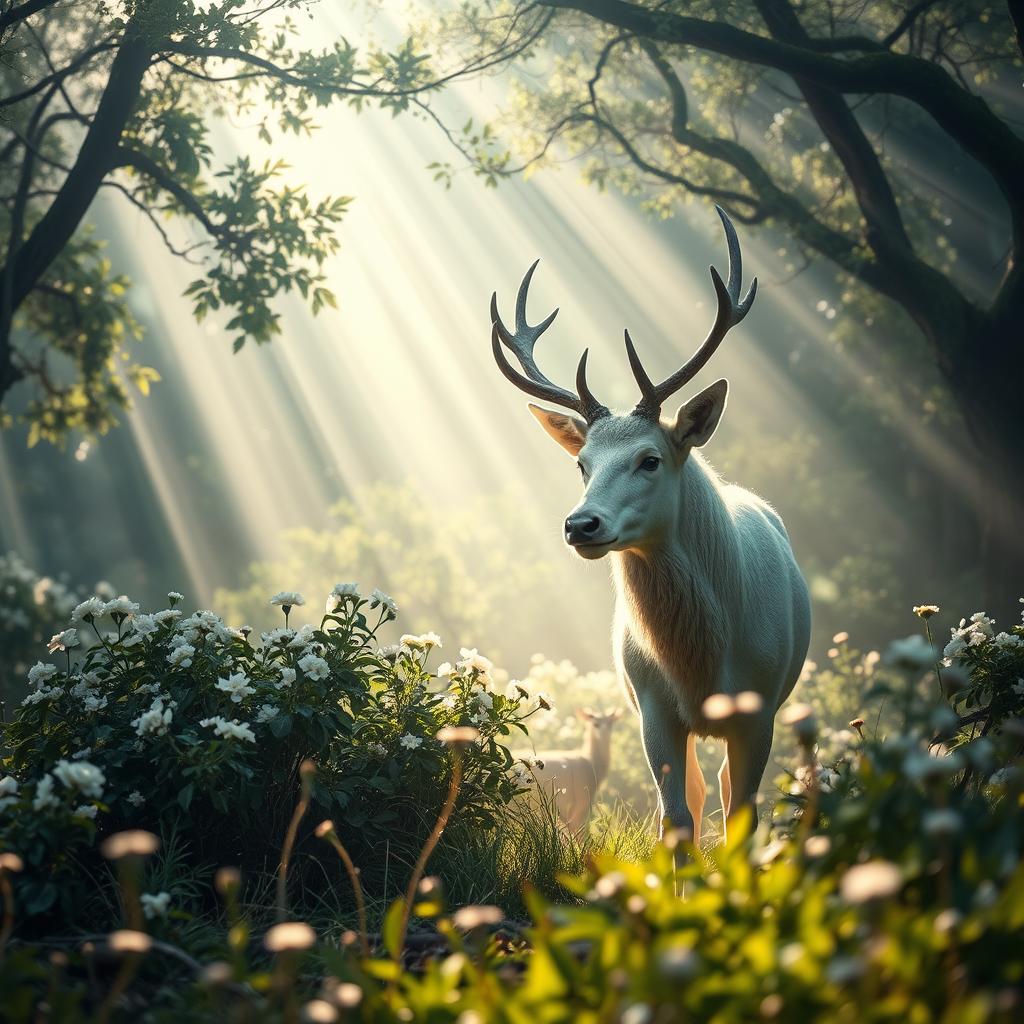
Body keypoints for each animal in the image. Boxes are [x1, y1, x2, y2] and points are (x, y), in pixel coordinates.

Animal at [488, 208, 811, 845]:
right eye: (582, 463)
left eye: (650, 459)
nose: (580, 524)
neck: (702, 666)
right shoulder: (652, 707)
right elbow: (677, 817)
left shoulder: (760, 706)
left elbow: (743, 813)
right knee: (698, 792)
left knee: (728, 793)